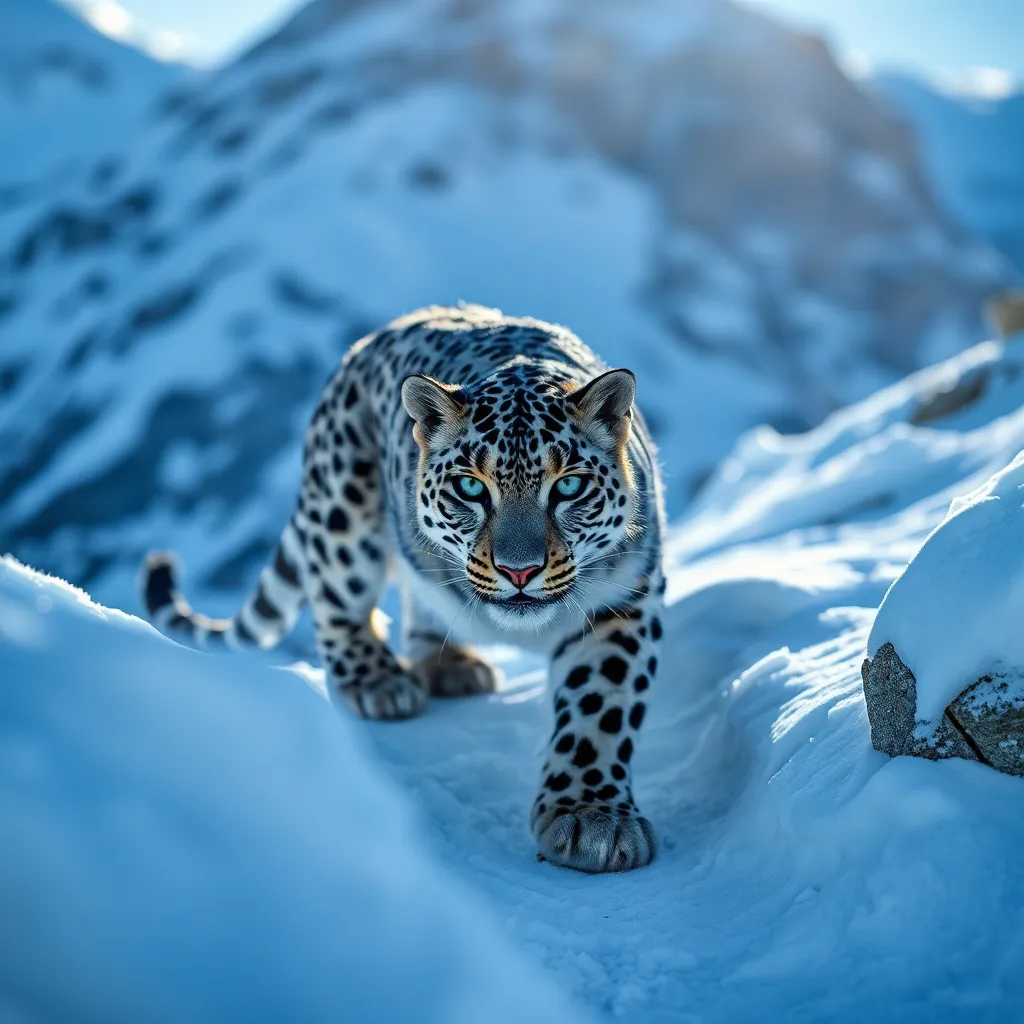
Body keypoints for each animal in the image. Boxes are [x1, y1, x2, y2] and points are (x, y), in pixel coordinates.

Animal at [142, 304, 665, 873]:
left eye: (568, 485)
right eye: (471, 486)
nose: (519, 571)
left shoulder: (623, 601)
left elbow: (600, 708)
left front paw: (592, 816)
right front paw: (592, 820)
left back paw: (451, 666)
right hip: (342, 509)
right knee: (339, 599)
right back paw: (379, 684)